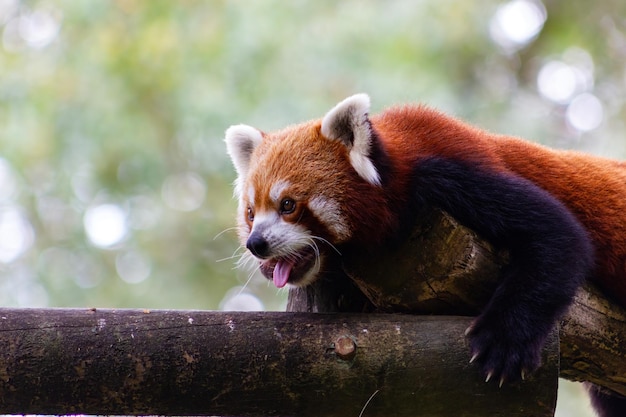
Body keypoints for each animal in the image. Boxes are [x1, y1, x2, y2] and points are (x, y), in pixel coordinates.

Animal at [224, 94, 624, 416]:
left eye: (288, 205)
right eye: (251, 213)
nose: (256, 243)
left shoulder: (452, 174)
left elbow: (561, 235)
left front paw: (504, 341)